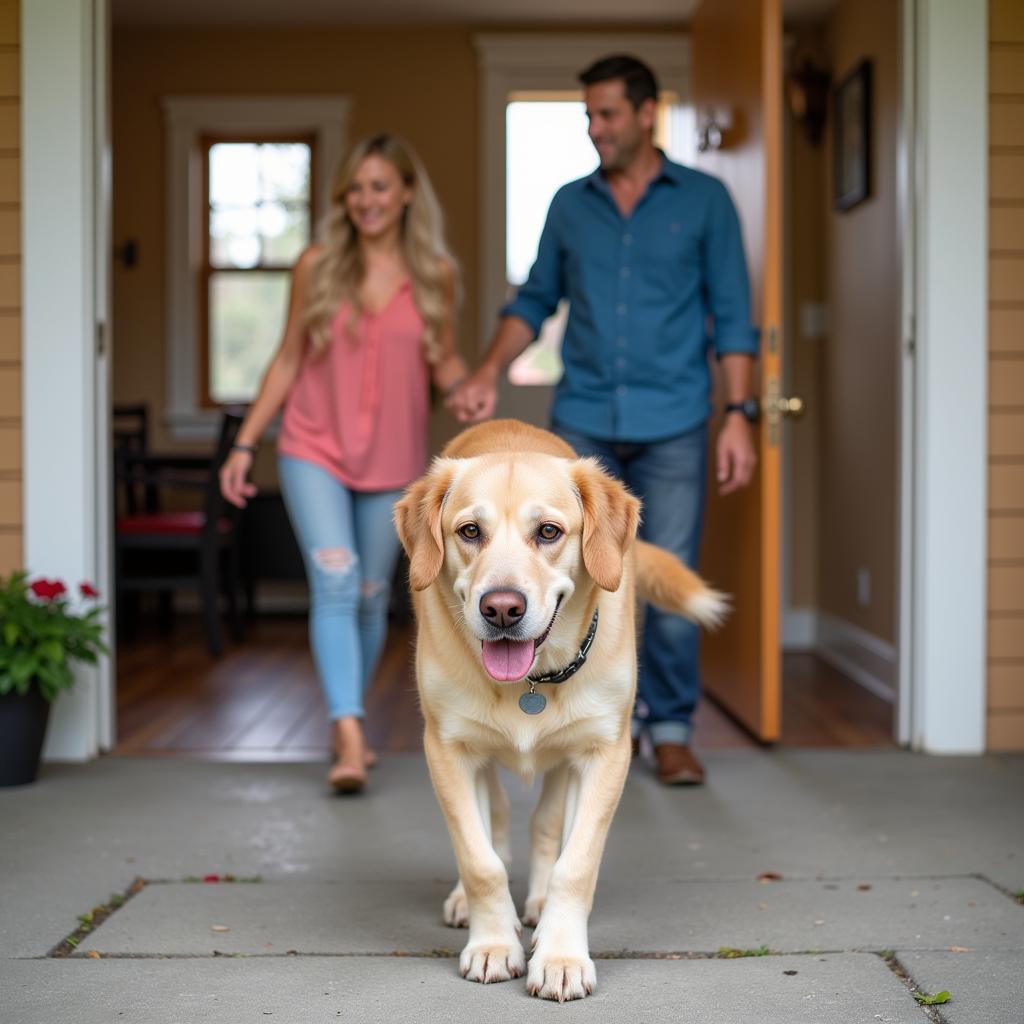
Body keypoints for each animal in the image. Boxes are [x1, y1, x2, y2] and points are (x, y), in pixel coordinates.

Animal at [393, 417, 729, 999]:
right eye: (469, 532)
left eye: (548, 532)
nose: (502, 608)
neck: (531, 680)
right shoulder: (448, 748)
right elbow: (479, 858)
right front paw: (493, 943)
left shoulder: (604, 752)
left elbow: (576, 862)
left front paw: (560, 956)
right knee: (493, 819)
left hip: (566, 759)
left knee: (547, 824)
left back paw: (539, 902)